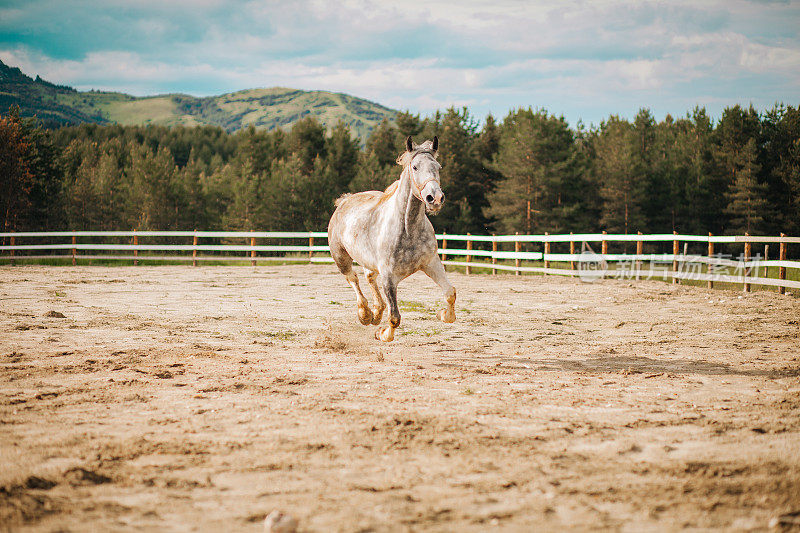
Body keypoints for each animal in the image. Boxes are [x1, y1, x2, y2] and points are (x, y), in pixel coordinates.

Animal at [328, 134, 456, 340]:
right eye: (415, 167)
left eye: (438, 167)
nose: (435, 198)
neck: (408, 229)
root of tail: (345, 200)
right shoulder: (389, 277)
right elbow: (395, 317)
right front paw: (382, 334)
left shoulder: (431, 263)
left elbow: (450, 293)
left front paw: (443, 314)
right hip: (341, 258)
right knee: (353, 279)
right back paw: (365, 314)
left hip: (368, 260)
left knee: (369, 277)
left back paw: (376, 312)